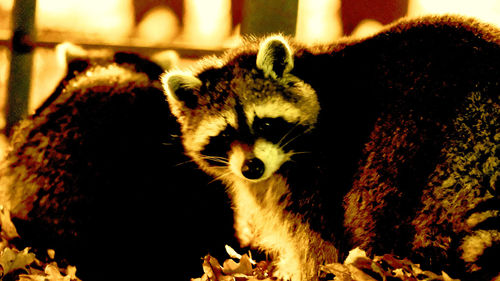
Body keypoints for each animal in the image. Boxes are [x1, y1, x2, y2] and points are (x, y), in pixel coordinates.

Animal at [162, 15, 498, 280]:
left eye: (265, 125)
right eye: (226, 134)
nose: (252, 168)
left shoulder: (321, 171)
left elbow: (317, 244)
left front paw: (308, 272)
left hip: (410, 137)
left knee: (377, 202)